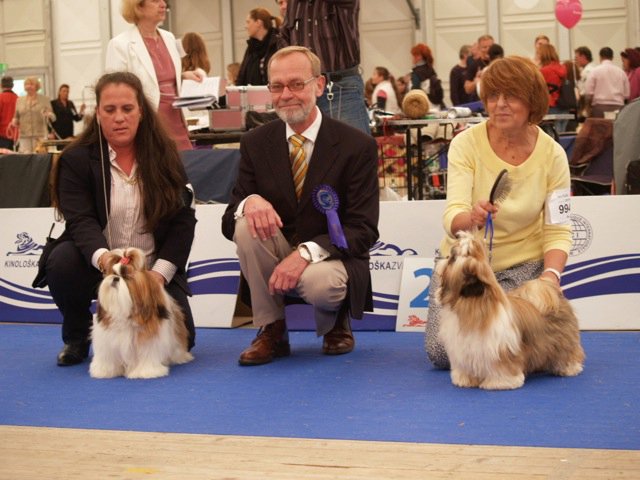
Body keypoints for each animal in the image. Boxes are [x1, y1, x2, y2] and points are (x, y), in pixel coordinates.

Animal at [89, 248, 192, 378]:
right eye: (113, 272)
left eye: (127, 276)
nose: (115, 278)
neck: (123, 311)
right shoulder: (107, 341)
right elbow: (108, 357)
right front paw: (104, 370)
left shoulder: (148, 342)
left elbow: (147, 356)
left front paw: (145, 371)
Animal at [438, 232, 584, 390]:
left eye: (453, 259)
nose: (447, 256)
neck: (473, 306)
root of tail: (550, 291)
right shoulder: (465, 350)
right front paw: (465, 379)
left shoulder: (500, 351)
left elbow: (501, 369)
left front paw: (501, 382)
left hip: (564, 341)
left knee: (568, 352)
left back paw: (570, 368)